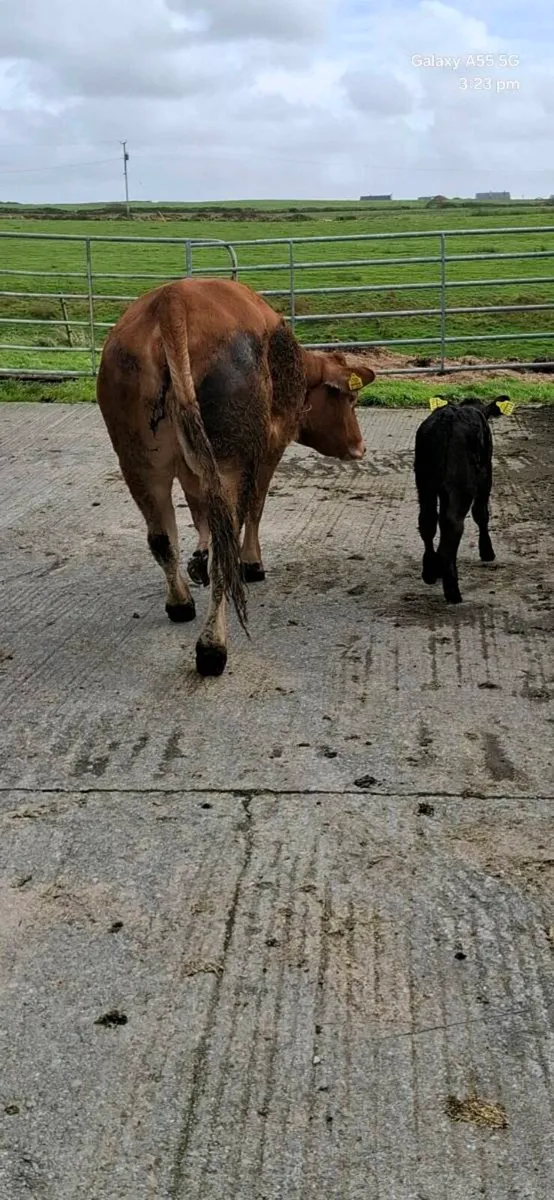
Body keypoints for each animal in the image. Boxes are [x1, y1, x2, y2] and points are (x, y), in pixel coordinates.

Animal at [96, 278, 376, 675]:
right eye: (350, 400)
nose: (360, 446)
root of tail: (172, 299)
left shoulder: (193, 468)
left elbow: (200, 512)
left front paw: (196, 558)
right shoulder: (269, 448)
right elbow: (255, 509)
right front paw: (253, 563)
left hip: (140, 463)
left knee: (163, 540)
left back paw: (180, 603)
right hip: (231, 462)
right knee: (223, 554)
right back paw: (212, 647)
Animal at [414, 396, 510, 604]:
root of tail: (447, 417)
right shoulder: (485, 475)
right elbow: (481, 514)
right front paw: (487, 551)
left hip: (424, 482)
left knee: (428, 521)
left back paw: (430, 571)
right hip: (461, 485)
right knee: (453, 524)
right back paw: (452, 589)